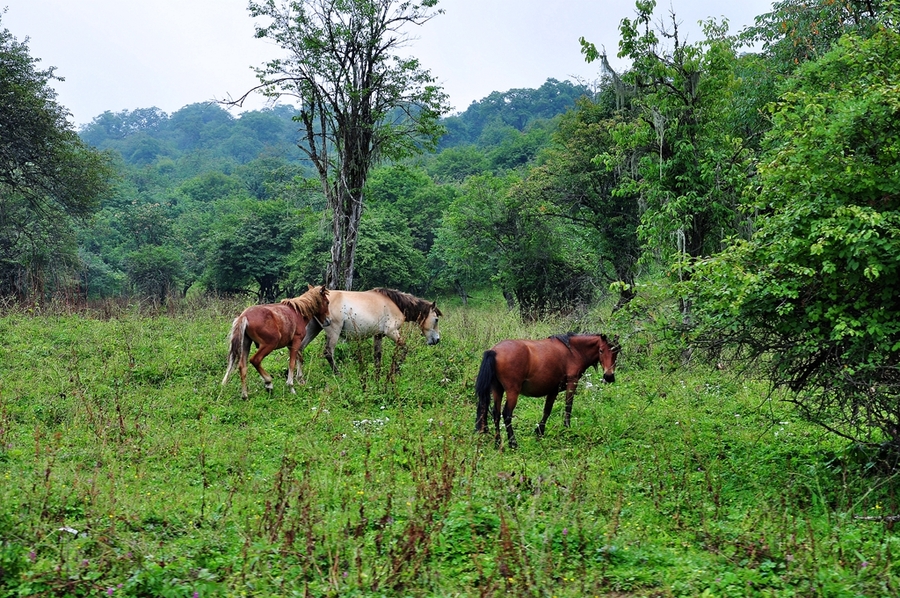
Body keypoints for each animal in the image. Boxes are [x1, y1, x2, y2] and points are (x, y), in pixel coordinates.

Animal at [302, 288, 442, 380]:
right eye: (436, 319)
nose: (437, 340)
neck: (396, 304)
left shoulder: (378, 335)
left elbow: (377, 356)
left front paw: (377, 376)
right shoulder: (392, 332)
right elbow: (405, 349)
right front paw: (396, 370)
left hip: (312, 330)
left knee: (300, 349)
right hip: (333, 332)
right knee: (328, 353)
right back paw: (339, 375)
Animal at [474, 332, 624, 450]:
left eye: (616, 353)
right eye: (601, 350)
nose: (609, 376)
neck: (573, 351)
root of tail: (494, 351)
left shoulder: (553, 390)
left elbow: (547, 410)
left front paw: (540, 431)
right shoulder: (572, 383)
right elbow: (568, 407)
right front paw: (567, 428)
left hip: (497, 390)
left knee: (496, 413)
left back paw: (498, 442)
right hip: (512, 391)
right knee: (506, 414)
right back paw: (513, 443)